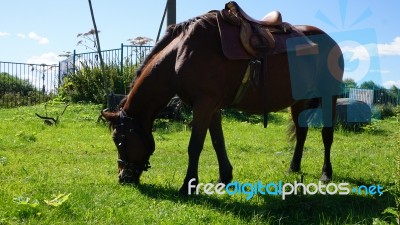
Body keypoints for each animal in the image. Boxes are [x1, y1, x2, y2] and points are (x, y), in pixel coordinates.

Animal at [102, 6, 344, 193]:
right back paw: (294, 167)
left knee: (327, 135)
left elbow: (195, 145)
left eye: (119, 140)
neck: (181, 53)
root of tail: (330, 40)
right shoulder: (212, 108)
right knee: (302, 133)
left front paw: (188, 186)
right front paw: (224, 178)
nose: (123, 178)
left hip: (328, 96)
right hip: (298, 101)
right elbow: (218, 142)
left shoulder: (203, 105)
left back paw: (326, 174)